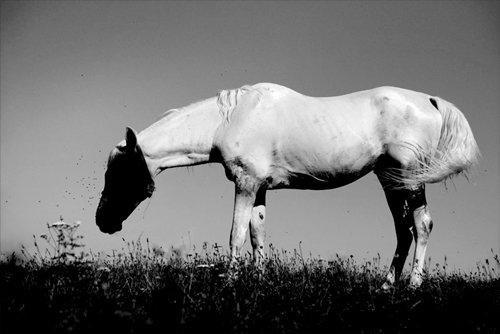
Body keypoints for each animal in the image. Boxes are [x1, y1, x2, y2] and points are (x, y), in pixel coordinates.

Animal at [95, 83, 478, 288]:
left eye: (117, 173)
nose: (102, 221)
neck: (230, 120)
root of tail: (430, 101)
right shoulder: (259, 188)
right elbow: (257, 234)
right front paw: (259, 281)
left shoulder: (246, 184)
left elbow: (235, 234)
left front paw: (230, 283)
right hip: (392, 181)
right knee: (404, 230)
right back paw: (385, 286)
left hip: (411, 179)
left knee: (422, 226)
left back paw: (413, 286)